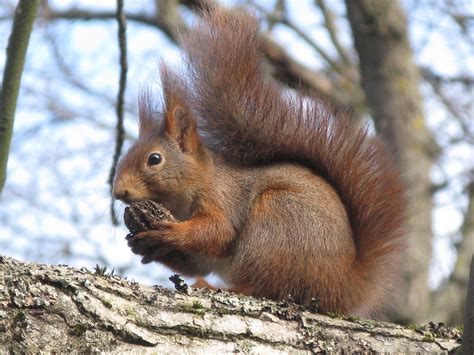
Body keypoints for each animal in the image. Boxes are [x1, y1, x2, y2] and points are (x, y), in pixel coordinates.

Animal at [111, 7, 404, 318]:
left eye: (154, 159)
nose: (118, 192)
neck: (196, 185)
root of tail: (341, 287)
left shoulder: (223, 198)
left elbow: (218, 232)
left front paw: (171, 231)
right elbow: (199, 259)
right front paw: (146, 246)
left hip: (276, 224)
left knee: (270, 289)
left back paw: (222, 288)